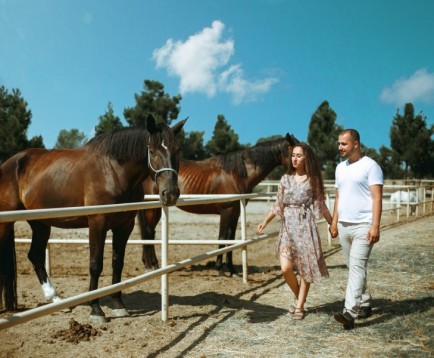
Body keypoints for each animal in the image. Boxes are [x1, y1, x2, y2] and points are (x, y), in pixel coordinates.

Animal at [0, 116, 185, 324]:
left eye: (177, 149)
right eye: (152, 150)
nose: (170, 193)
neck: (113, 170)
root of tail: (10, 163)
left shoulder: (124, 225)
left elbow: (117, 263)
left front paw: (118, 305)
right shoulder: (97, 222)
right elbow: (96, 265)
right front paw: (96, 310)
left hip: (40, 224)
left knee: (36, 256)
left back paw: (55, 299)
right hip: (6, 223)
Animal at [139, 134, 298, 276]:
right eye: (295, 153)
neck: (237, 174)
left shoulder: (236, 212)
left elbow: (231, 239)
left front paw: (232, 270)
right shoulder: (226, 211)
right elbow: (222, 238)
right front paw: (220, 269)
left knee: (149, 232)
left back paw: (151, 264)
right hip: (152, 208)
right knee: (148, 232)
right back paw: (153, 265)